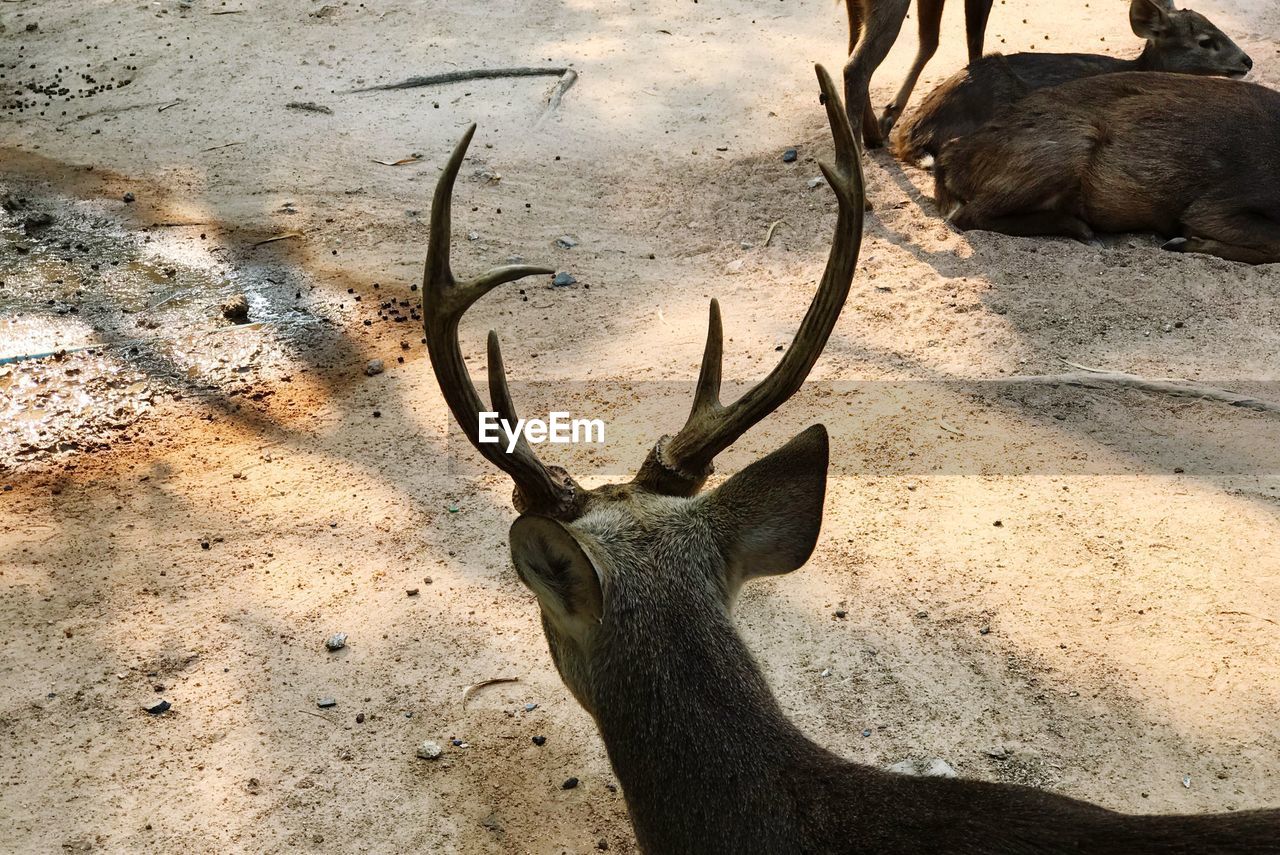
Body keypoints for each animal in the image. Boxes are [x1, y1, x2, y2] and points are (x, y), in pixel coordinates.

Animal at [849, 0, 998, 148]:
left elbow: (930, 41)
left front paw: (890, 112)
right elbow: (975, 41)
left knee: (853, 48)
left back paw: (873, 135)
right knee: (856, 66)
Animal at [931, 72, 1280, 264]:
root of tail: (953, 156)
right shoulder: (1218, 203)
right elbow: (1274, 242)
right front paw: (1179, 242)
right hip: (1068, 146)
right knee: (968, 216)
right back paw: (1084, 230)